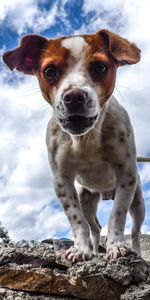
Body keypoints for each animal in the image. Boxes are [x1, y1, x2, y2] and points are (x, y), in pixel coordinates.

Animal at [2, 28, 145, 262]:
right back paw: (94, 249)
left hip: (138, 201)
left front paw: (116, 245)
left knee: (135, 230)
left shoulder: (126, 175)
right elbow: (77, 220)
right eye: (50, 71)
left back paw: (136, 251)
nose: (75, 96)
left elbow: (117, 216)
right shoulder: (62, 181)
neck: (85, 139)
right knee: (94, 227)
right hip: (87, 199)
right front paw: (81, 249)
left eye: (100, 67)